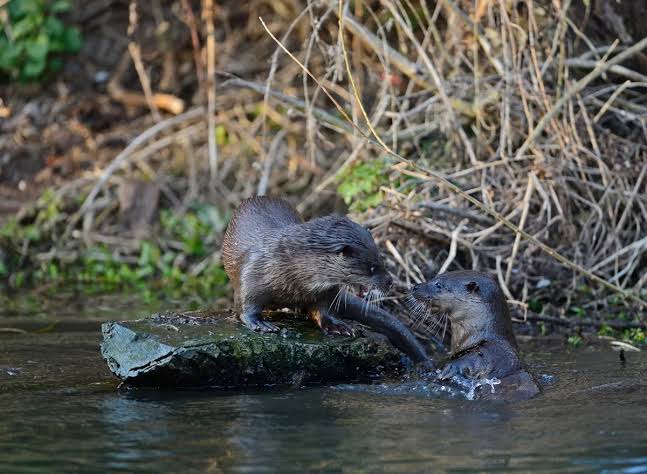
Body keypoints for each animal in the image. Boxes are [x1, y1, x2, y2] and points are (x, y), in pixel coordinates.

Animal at [222, 196, 430, 364]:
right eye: (371, 268)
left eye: (382, 260)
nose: (390, 282)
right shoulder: (252, 271)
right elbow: (246, 303)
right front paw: (260, 323)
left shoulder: (326, 291)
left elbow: (323, 311)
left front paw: (338, 326)